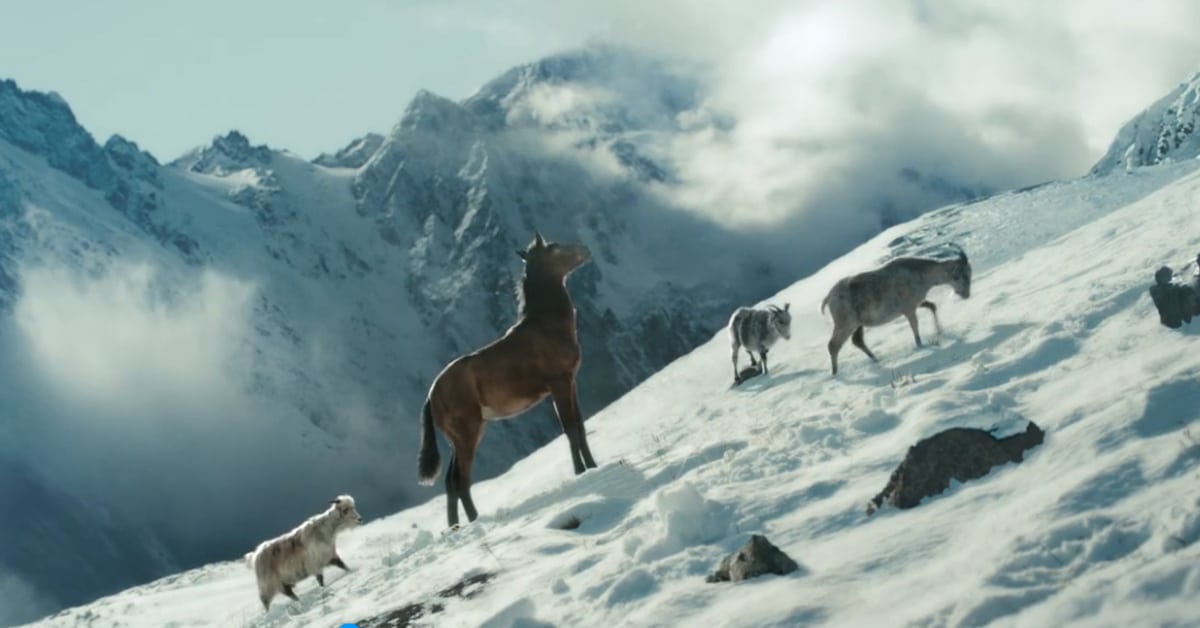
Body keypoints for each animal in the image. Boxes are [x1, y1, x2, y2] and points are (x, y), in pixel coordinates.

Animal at [820, 245, 971, 375]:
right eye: (963, 275)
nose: (966, 295)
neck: (920, 274)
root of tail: (829, 298)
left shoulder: (917, 304)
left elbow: (932, 306)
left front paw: (940, 331)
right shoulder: (909, 310)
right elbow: (915, 327)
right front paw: (921, 346)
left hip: (857, 326)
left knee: (857, 341)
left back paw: (876, 359)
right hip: (846, 326)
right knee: (833, 346)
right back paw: (835, 373)